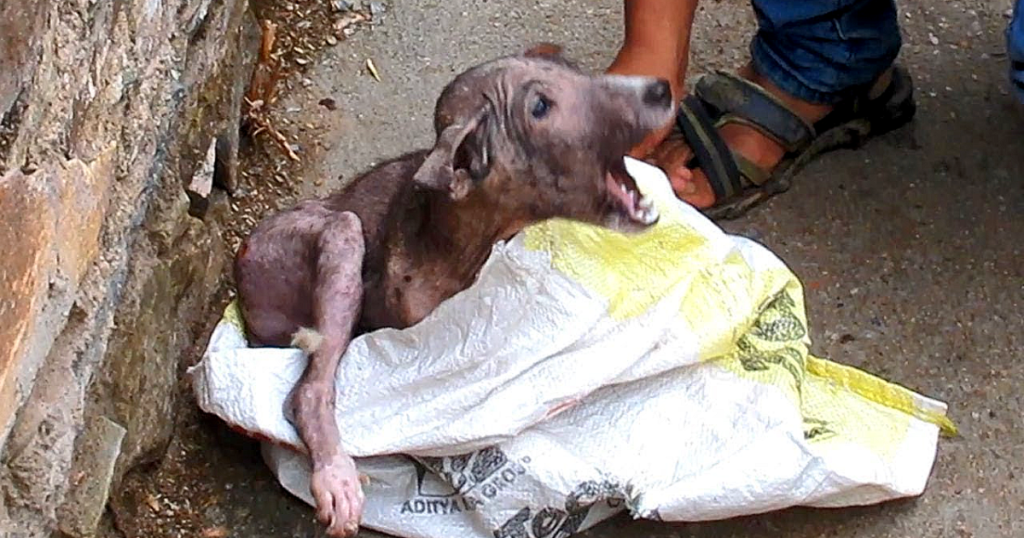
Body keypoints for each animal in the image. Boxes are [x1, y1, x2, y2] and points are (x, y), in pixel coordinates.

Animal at [234, 44, 675, 532]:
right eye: (540, 106)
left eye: (575, 70)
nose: (661, 89)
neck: (466, 243)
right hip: (331, 235)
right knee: (308, 391)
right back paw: (336, 477)